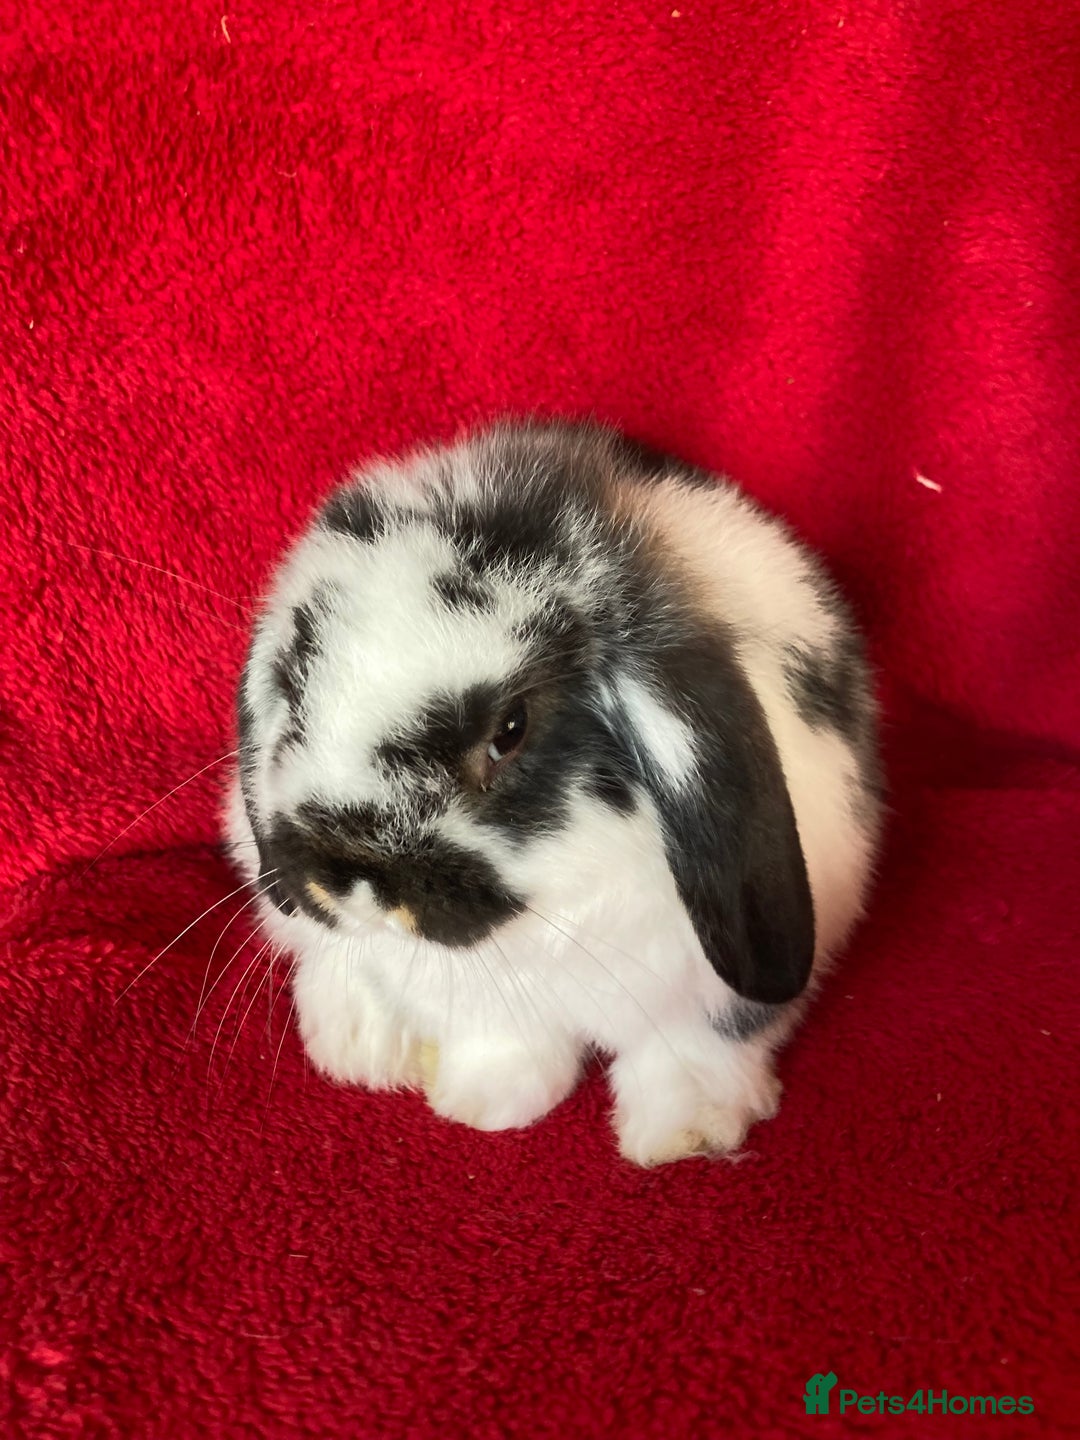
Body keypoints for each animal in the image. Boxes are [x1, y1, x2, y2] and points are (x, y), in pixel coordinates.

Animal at [225, 418, 883, 1165]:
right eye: (294, 691)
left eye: (511, 729)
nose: (348, 882)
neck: (561, 891)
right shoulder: (482, 999)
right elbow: (504, 1040)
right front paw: (485, 1103)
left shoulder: (714, 986)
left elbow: (694, 1049)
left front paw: (684, 1132)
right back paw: (360, 1045)